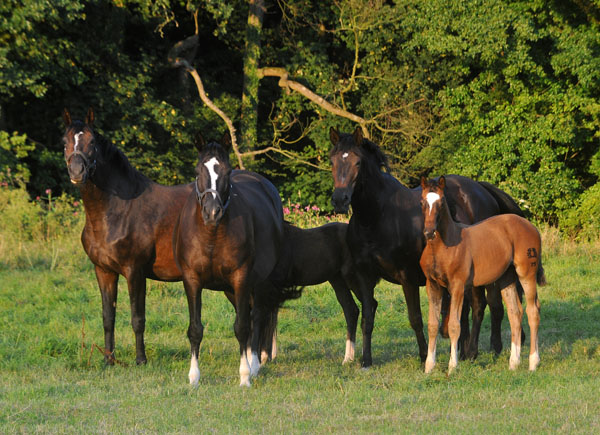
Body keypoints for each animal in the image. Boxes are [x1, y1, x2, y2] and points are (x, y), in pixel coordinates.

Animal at [172, 135, 298, 386]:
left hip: (259, 283)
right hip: (231, 290)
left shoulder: (241, 278)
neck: (212, 234)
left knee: (257, 318)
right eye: (198, 170)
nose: (212, 213)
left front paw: (245, 376)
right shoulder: (192, 280)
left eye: (227, 171)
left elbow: (242, 327)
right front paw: (194, 377)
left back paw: (255, 364)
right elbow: (195, 329)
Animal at [328, 127, 524, 368]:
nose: (339, 199)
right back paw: (467, 350)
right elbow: (367, 317)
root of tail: (482, 189)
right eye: (332, 160)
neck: (376, 216)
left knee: (480, 306)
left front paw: (424, 357)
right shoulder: (365, 276)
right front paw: (366, 360)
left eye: (357, 162)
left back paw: (473, 352)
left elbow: (415, 318)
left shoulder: (406, 277)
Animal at [420, 177, 548, 374]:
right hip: (507, 278)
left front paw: (452, 367)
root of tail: (530, 225)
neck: (443, 247)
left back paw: (533, 362)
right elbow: (432, 324)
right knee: (515, 313)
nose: (429, 232)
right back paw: (514, 363)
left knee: (533, 311)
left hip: (526, 273)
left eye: (441, 202)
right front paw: (429, 367)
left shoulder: (458, 286)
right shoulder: (432, 285)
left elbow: (454, 325)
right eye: (422, 202)